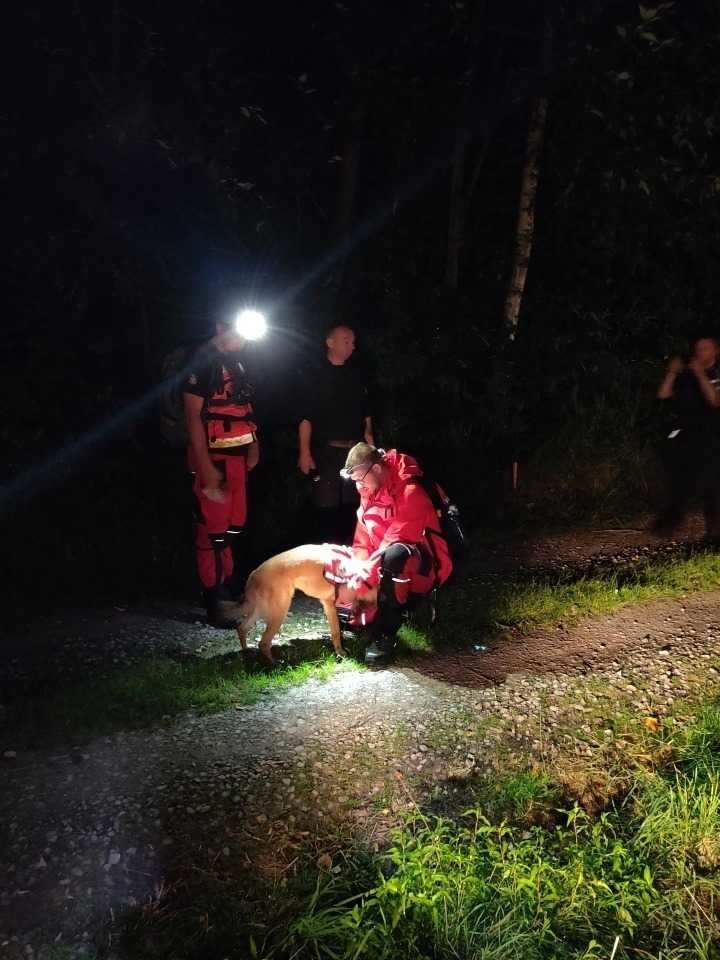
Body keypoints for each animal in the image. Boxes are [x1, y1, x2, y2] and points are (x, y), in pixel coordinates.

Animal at [235, 544, 376, 664]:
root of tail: (254, 574)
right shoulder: (330, 604)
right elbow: (336, 632)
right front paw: (340, 652)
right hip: (279, 613)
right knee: (263, 642)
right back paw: (274, 664)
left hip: (260, 610)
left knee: (242, 628)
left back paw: (247, 651)